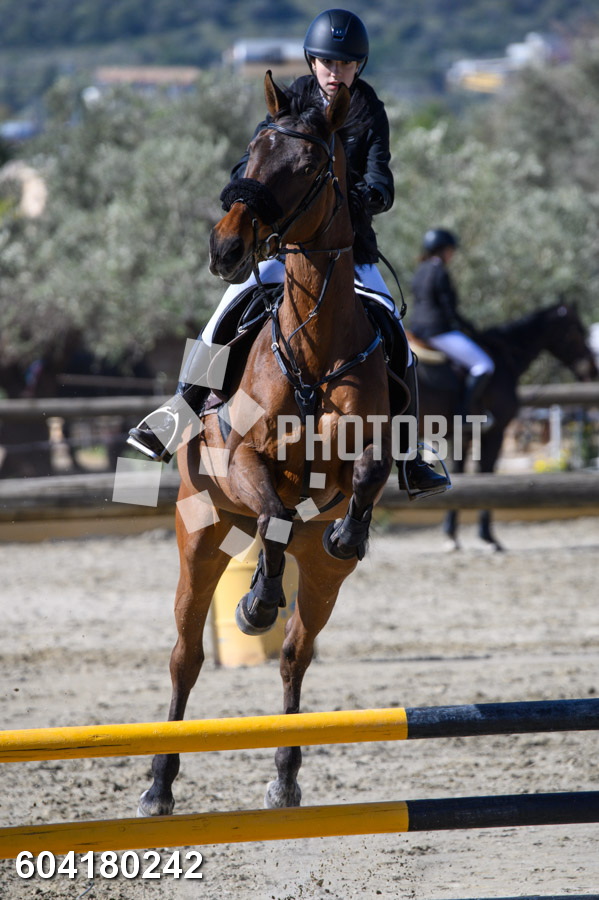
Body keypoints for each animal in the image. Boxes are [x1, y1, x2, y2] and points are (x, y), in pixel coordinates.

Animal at [137, 72, 395, 816]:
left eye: (308, 167)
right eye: (250, 155)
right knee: (186, 656)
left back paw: (284, 774)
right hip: (199, 532)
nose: (225, 249)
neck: (311, 348)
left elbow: (365, 474)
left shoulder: (365, 448)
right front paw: (254, 603)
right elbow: (274, 508)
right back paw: (159, 784)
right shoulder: (242, 460)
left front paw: (348, 534)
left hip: (323, 584)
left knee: (294, 655)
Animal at [414, 303, 597, 552]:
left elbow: (460, 473)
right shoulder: (496, 432)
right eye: (577, 330)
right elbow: (486, 473)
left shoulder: (463, 435)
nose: (591, 370)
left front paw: (451, 535)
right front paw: (487, 537)